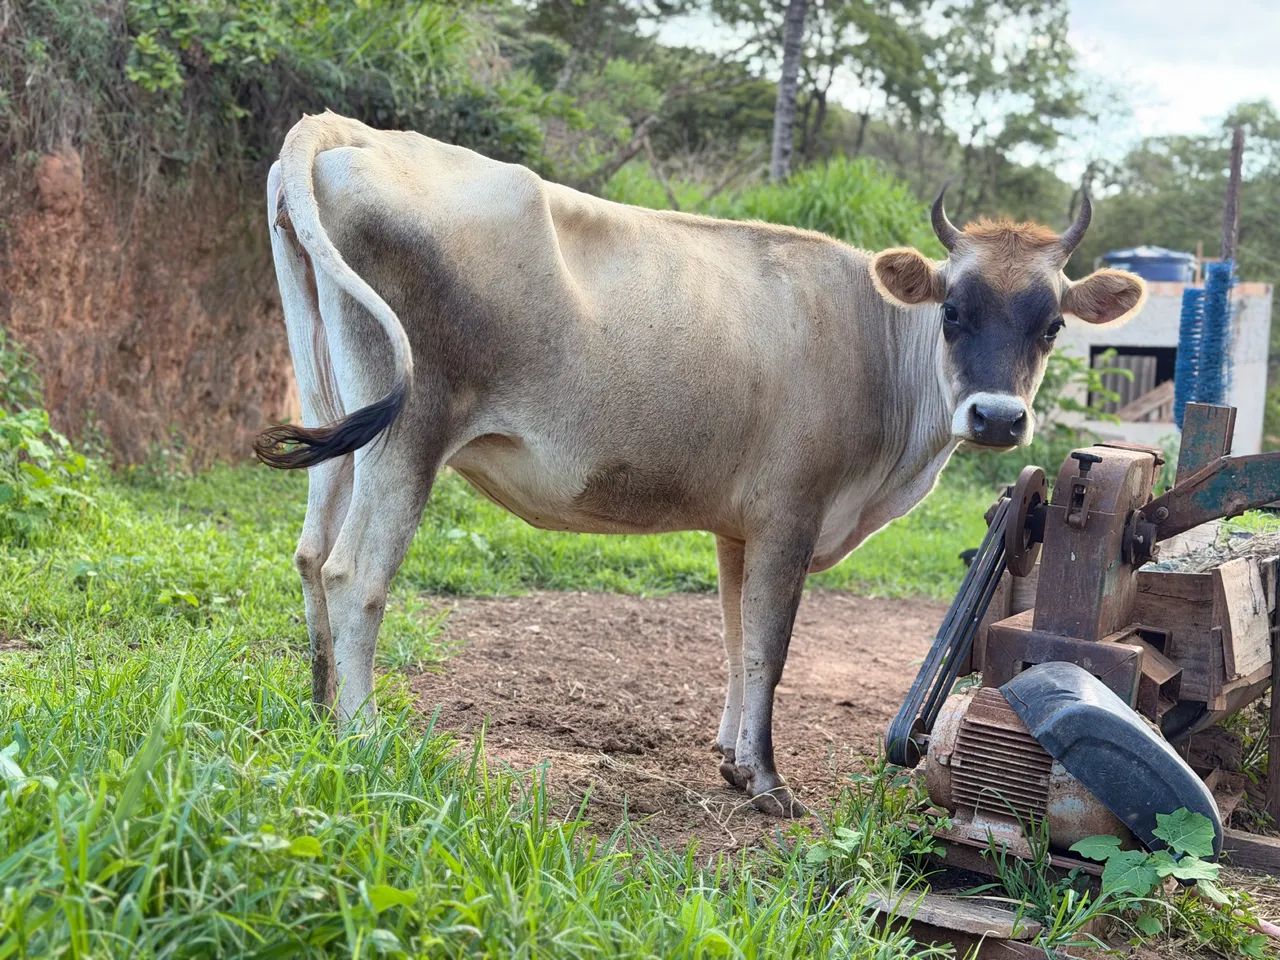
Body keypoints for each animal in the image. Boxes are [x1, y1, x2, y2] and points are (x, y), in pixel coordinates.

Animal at [257, 111, 1146, 817]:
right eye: (953, 311)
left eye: (1053, 325)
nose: (997, 417)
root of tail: (346, 130)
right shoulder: (790, 513)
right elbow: (768, 649)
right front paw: (767, 781)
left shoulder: (737, 527)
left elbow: (731, 638)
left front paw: (729, 758)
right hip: (406, 435)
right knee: (354, 575)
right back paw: (364, 740)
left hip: (335, 413)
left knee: (308, 555)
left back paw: (319, 713)